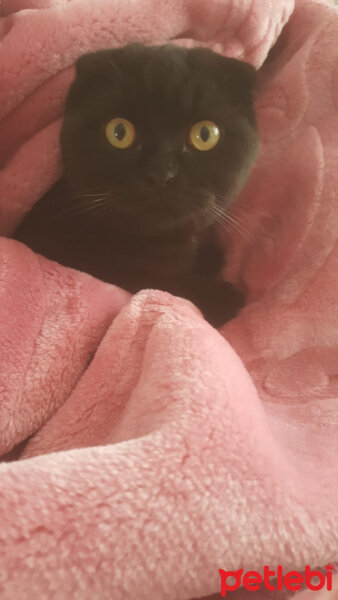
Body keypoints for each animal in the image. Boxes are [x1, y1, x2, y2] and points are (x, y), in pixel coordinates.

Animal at [13, 44, 258, 326]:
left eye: (205, 135)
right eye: (119, 132)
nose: (161, 174)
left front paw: (208, 256)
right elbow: (165, 287)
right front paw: (218, 297)